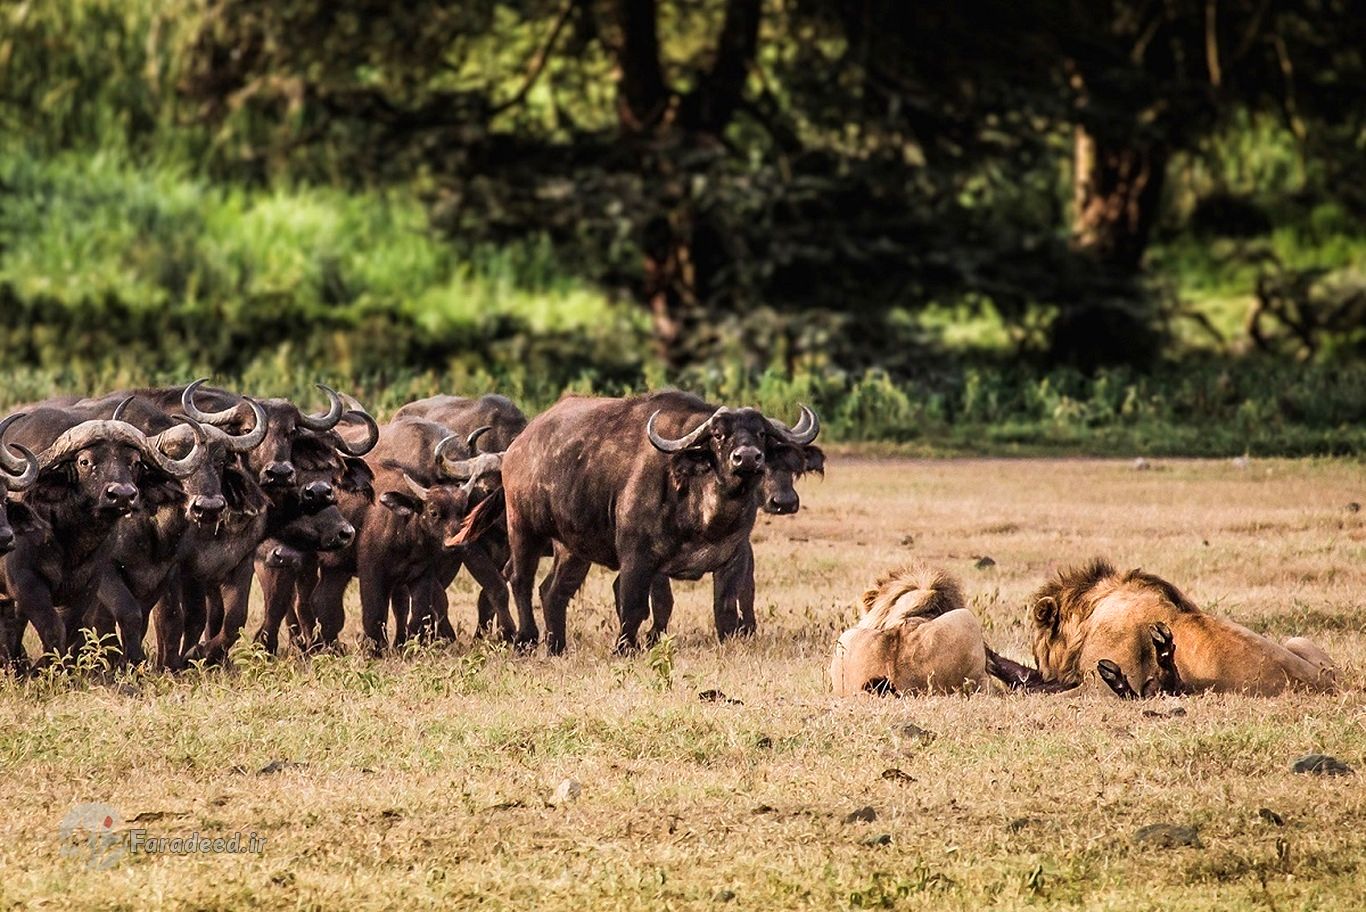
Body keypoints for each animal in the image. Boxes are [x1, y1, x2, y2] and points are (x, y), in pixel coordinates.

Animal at [0, 409, 204, 666]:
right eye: (84, 461)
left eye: (135, 462)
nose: (122, 495)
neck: (69, 541)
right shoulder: (26, 583)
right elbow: (53, 628)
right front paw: (46, 667)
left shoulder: (88, 586)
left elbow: (69, 628)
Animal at [508, 387, 814, 652]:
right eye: (717, 435)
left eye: (761, 433)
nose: (747, 458)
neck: (705, 518)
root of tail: (520, 443)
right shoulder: (637, 558)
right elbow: (635, 606)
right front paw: (625, 648)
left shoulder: (733, 557)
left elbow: (725, 608)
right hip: (522, 527)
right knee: (520, 580)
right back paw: (526, 639)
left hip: (572, 548)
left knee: (553, 591)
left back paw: (556, 646)